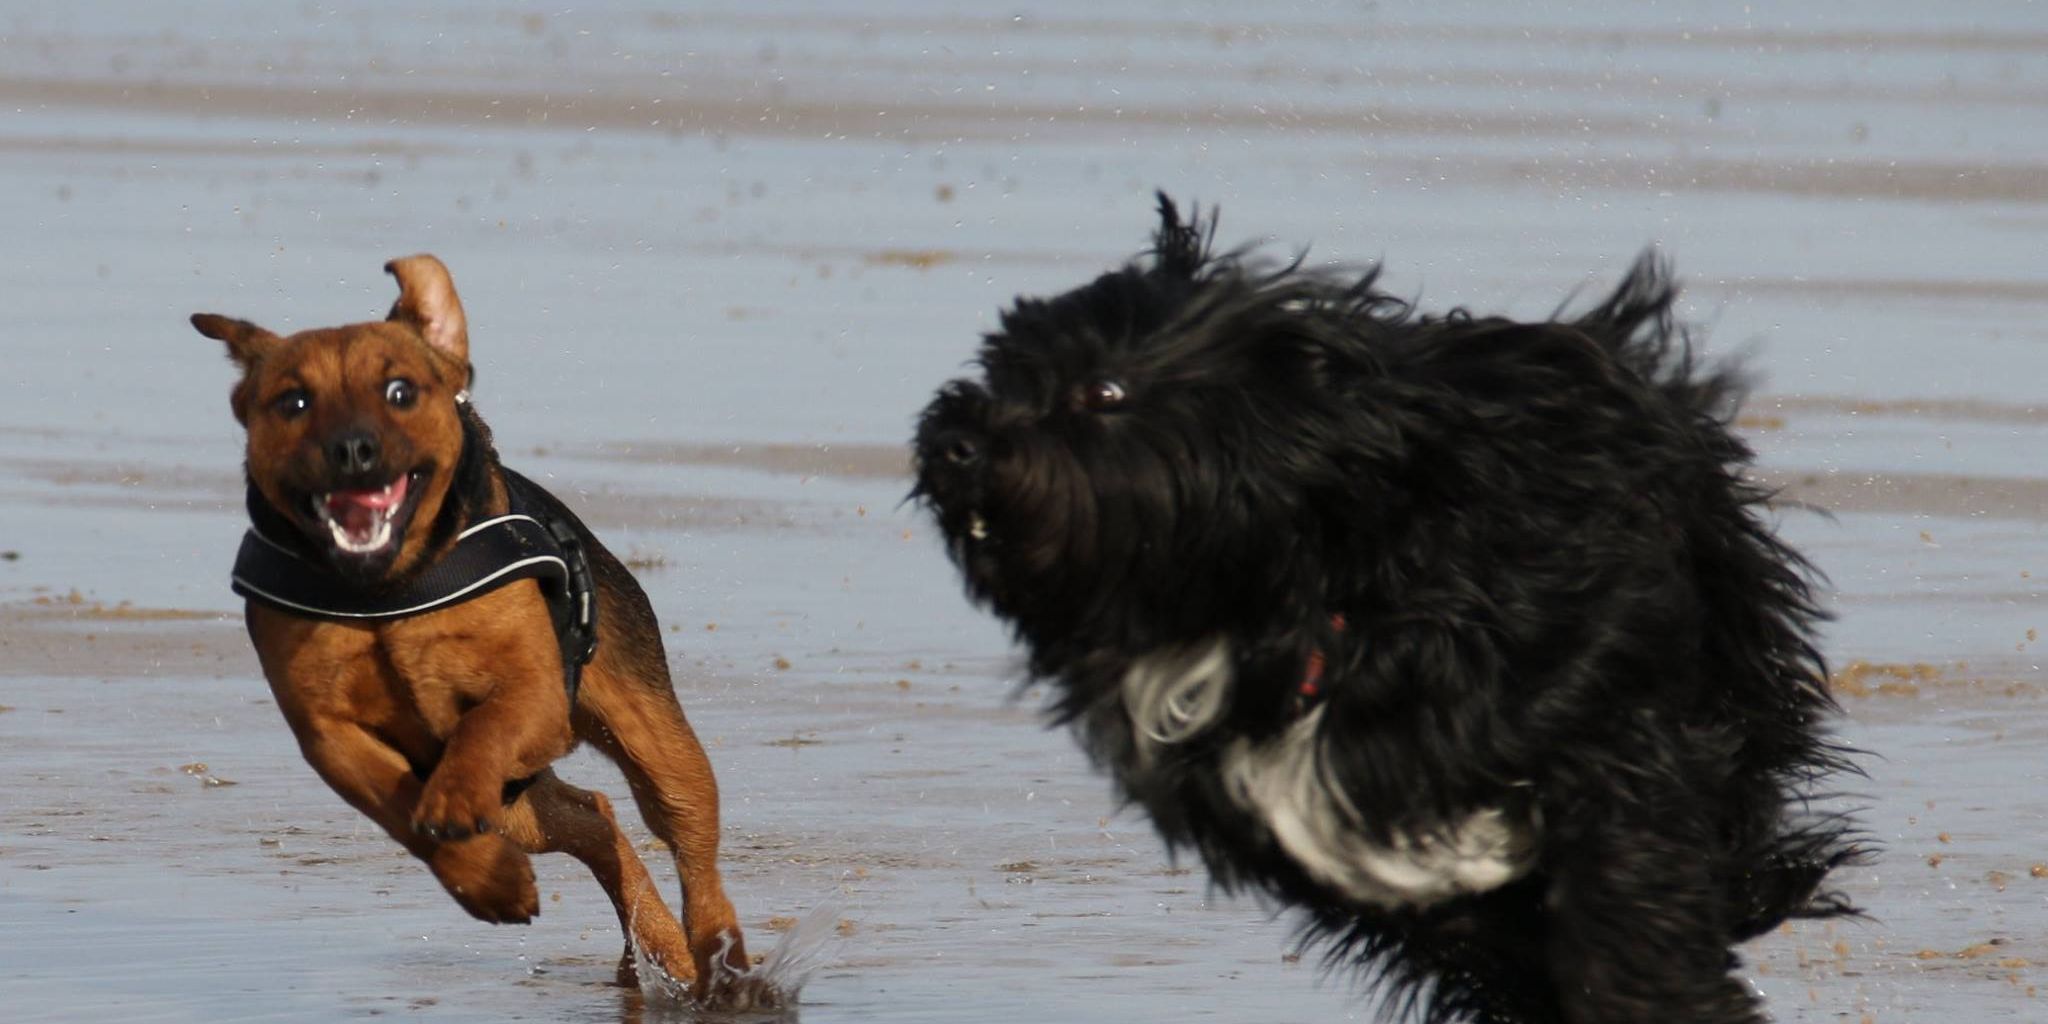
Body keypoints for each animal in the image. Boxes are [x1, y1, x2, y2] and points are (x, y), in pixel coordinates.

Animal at [195, 253, 757, 999]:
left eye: (400, 391)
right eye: (293, 402)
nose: (353, 450)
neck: (387, 589)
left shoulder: (535, 693)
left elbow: (481, 731)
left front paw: (459, 799)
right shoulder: (325, 731)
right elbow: (401, 806)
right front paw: (490, 882)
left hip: (656, 746)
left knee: (694, 853)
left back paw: (720, 959)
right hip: (522, 808)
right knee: (595, 819)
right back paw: (658, 943)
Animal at [913, 193, 1859, 1024]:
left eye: (1104, 393)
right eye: (1000, 369)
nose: (955, 440)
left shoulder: (1604, 710)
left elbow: (1625, 890)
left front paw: (1669, 1000)